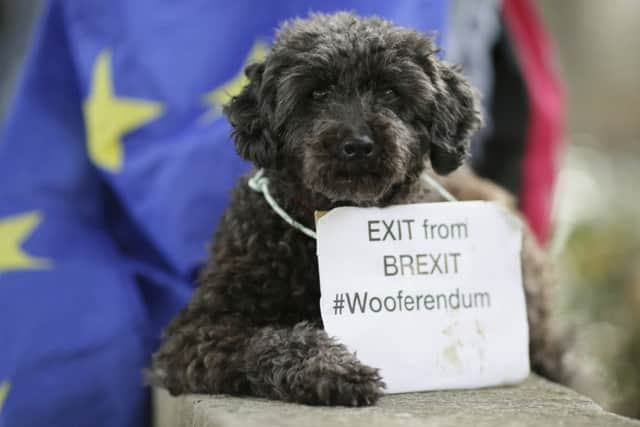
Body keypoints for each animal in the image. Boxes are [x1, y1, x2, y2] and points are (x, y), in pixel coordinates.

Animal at [152, 12, 564, 408]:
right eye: (317, 91)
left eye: (390, 91)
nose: (358, 145)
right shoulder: (194, 334)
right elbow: (267, 340)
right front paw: (331, 369)